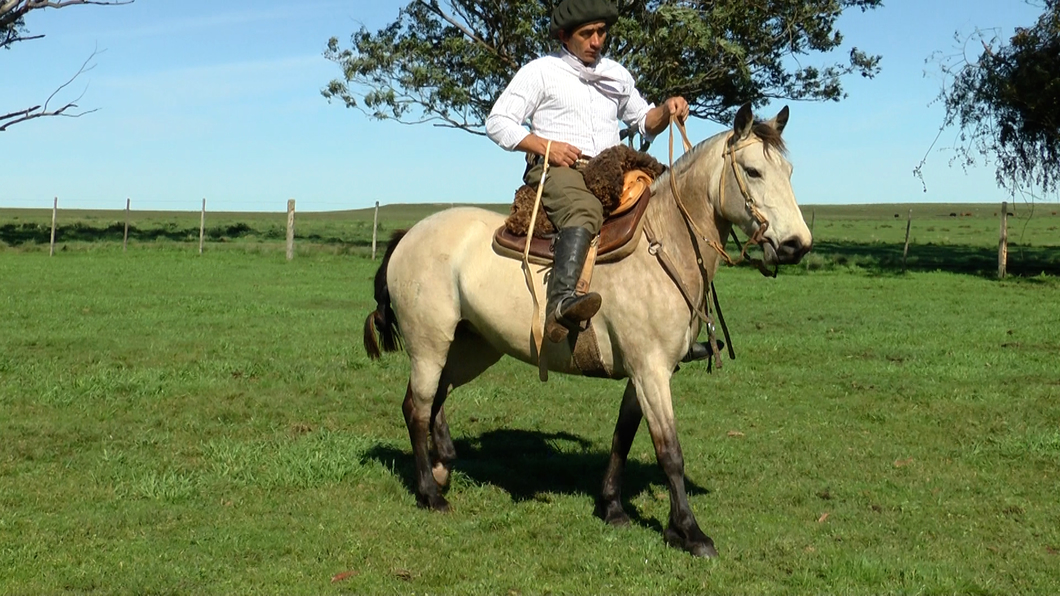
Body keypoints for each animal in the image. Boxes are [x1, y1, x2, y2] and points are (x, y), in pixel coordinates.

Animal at [362, 103, 809, 555]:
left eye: (788, 171)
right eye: (752, 171)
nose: (797, 245)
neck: (663, 244)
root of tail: (407, 236)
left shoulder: (643, 373)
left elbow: (622, 438)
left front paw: (613, 508)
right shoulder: (651, 372)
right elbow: (669, 451)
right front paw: (689, 531)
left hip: (473, 346)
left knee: (437, 398)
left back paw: (443, 468)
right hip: (429, 346)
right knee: (417, 408)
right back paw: (430, 494)